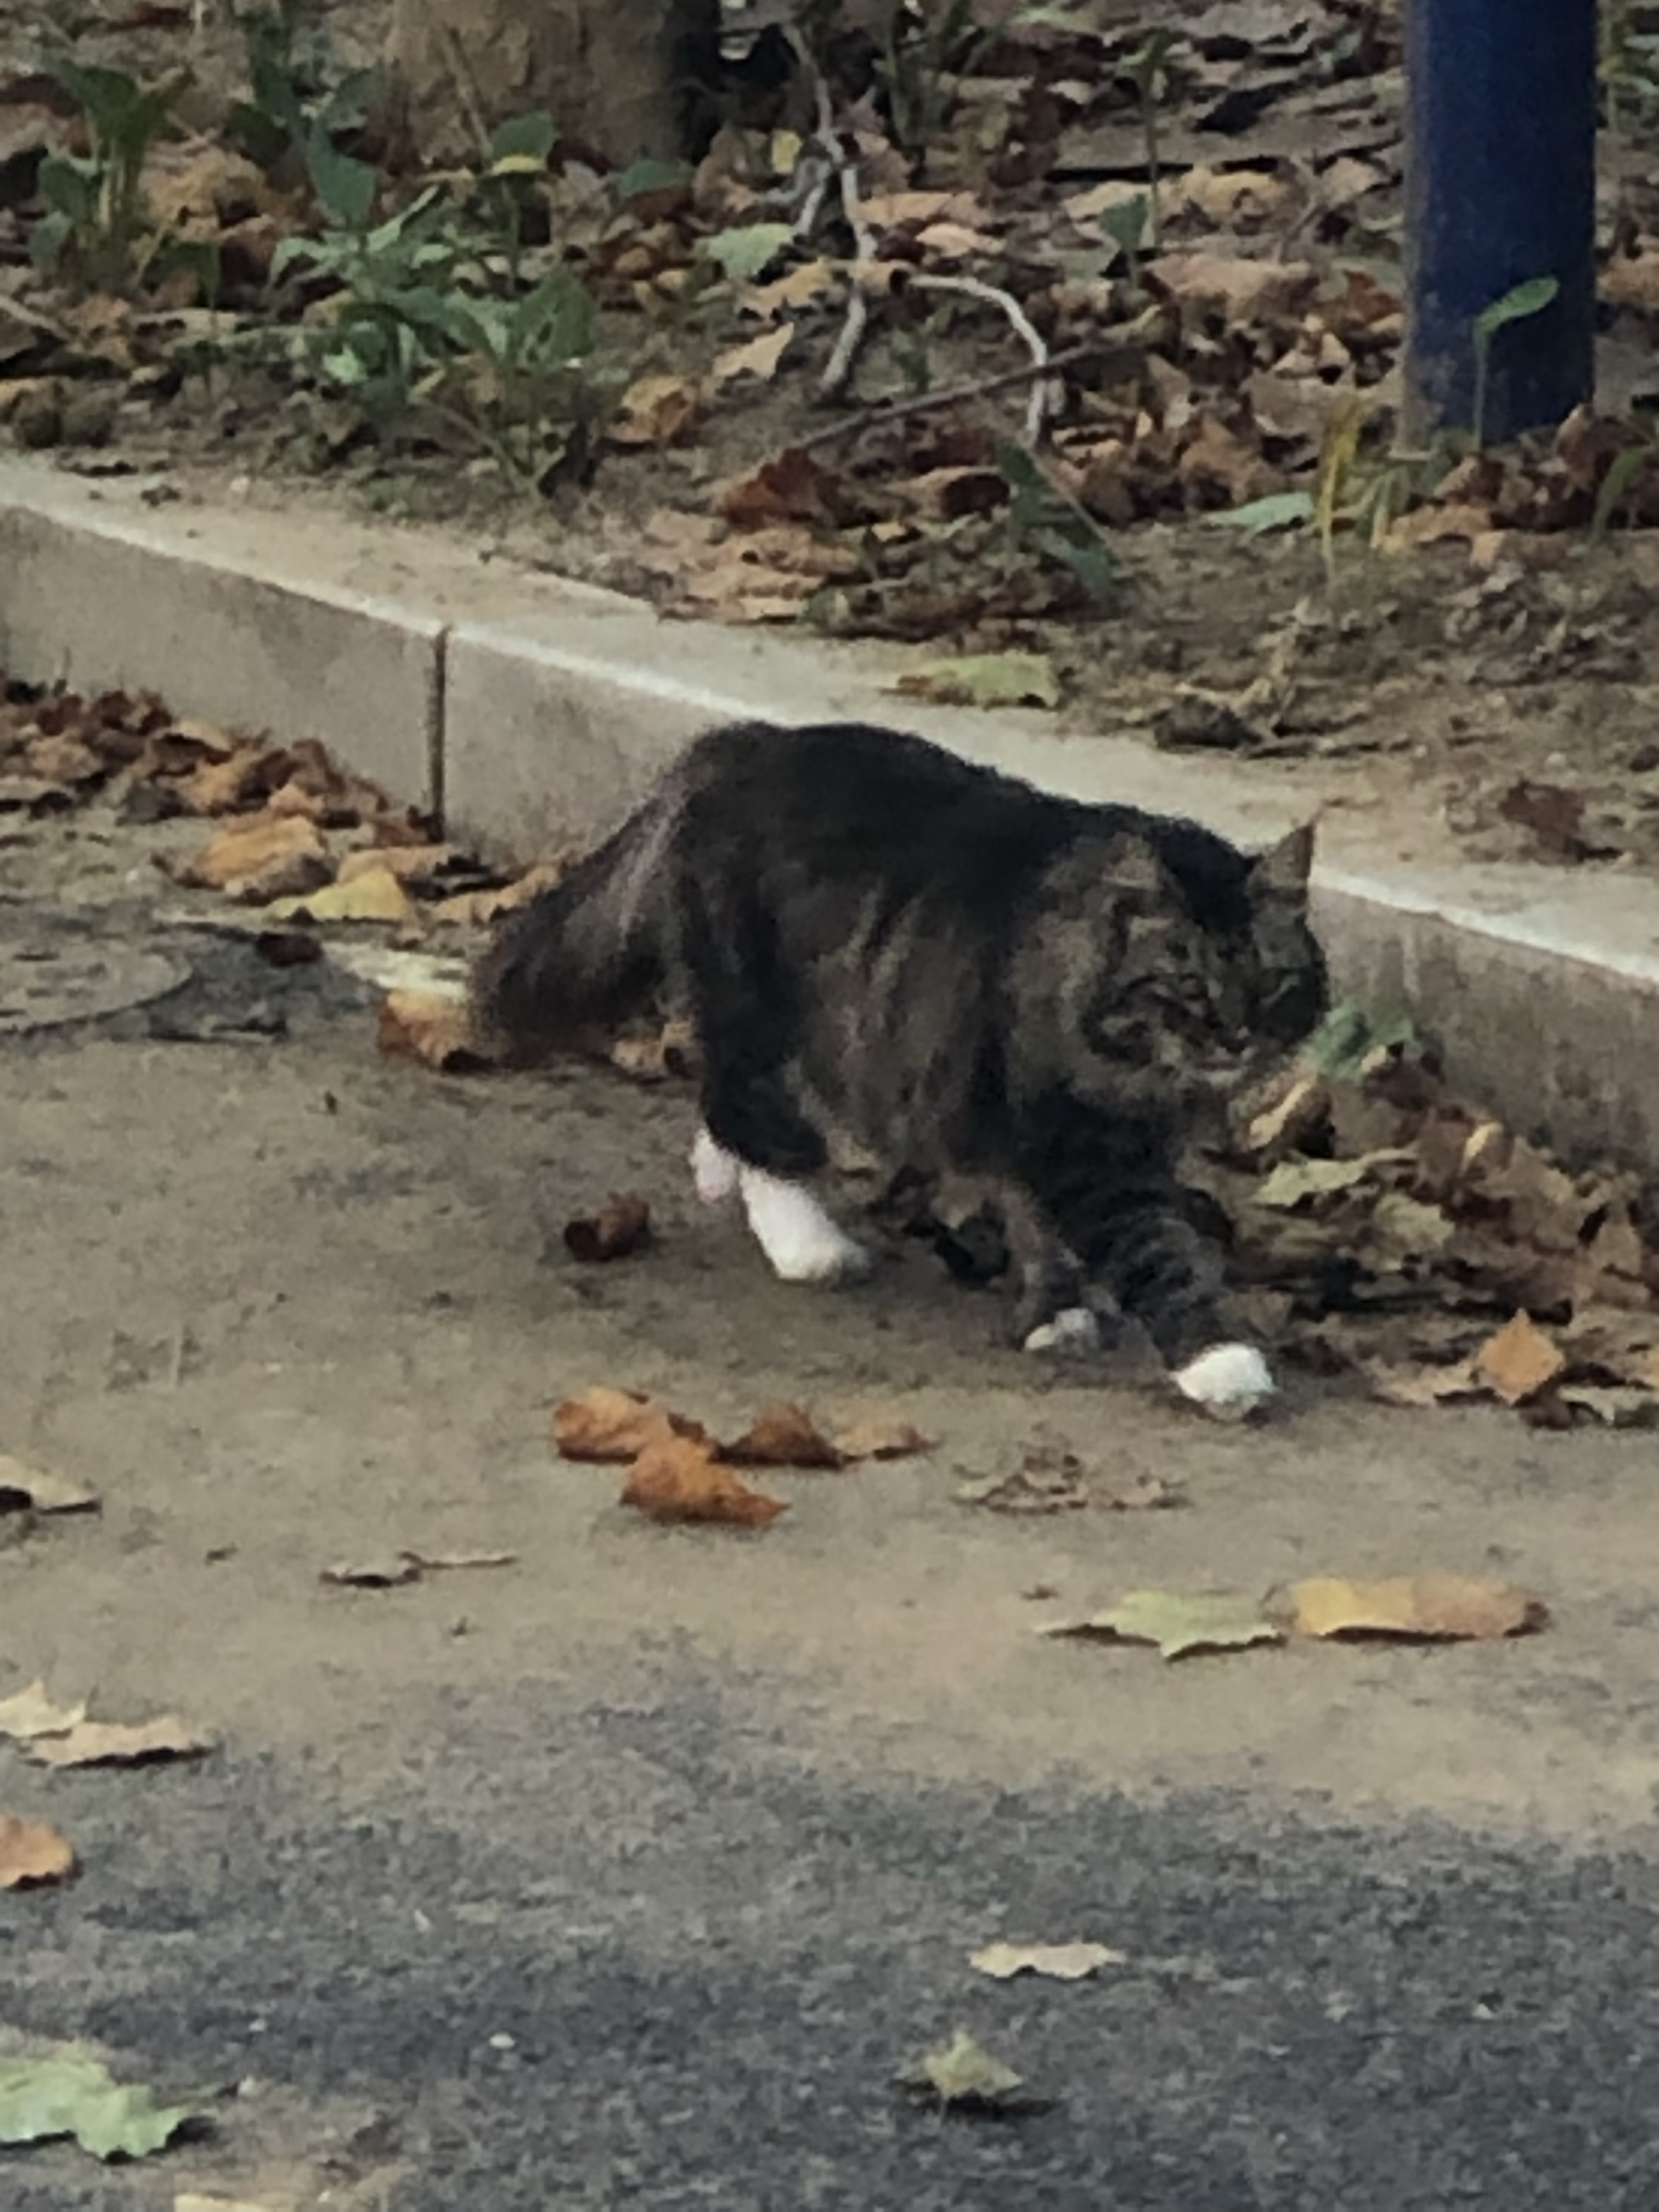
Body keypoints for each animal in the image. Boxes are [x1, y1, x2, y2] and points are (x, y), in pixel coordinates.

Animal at [477, 721, 1327, 1415]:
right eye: (1188, 988)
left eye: (1269, 985)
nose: (1236, 1039)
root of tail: (742, 744)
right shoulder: (1078, 1144)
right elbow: (1160, 1252)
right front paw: (1224, 1362)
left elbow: (1044, 1233)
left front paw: (1058, 1314)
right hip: (766, 1021)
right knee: (754, 1125)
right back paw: (812, 1248)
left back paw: (718, 1177)